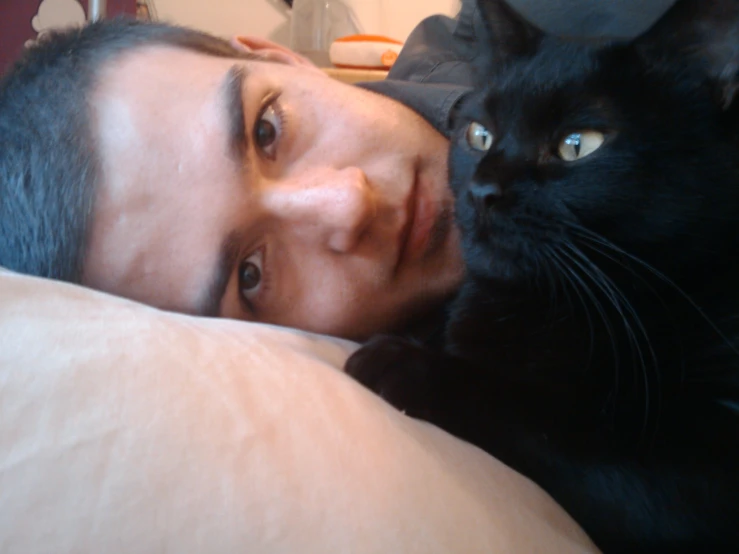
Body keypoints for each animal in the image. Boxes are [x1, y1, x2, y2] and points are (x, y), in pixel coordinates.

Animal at [348, 2, 739, 548]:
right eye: (479, 134)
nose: (481, 190)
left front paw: (402, 361)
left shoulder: (704, 473)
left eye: (579, 145)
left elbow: (553, 418)